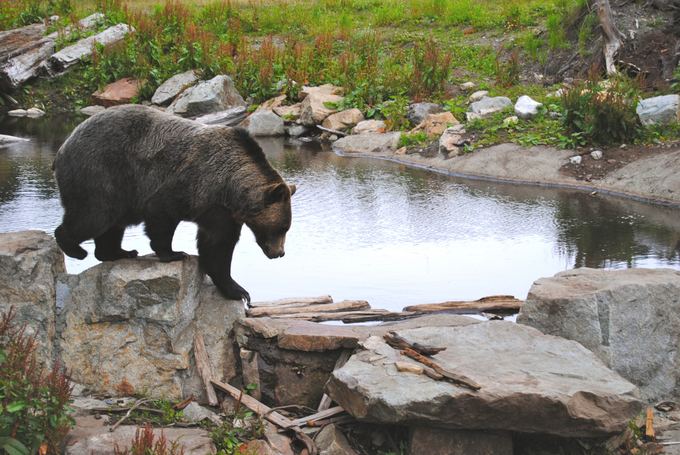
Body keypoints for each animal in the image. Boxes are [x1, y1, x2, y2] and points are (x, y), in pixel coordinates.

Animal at [51, 104, 296, 302]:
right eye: (282, 227)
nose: (280, 253)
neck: (228, 189)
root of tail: (63, 146)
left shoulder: (219, 212)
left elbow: (217, 247)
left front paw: (237, 290)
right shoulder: (184, 185)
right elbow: (162, 218)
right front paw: (174, 253)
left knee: (112, 225)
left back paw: (120, 252)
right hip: (101, 173)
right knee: (93, 216)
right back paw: (76, 249)